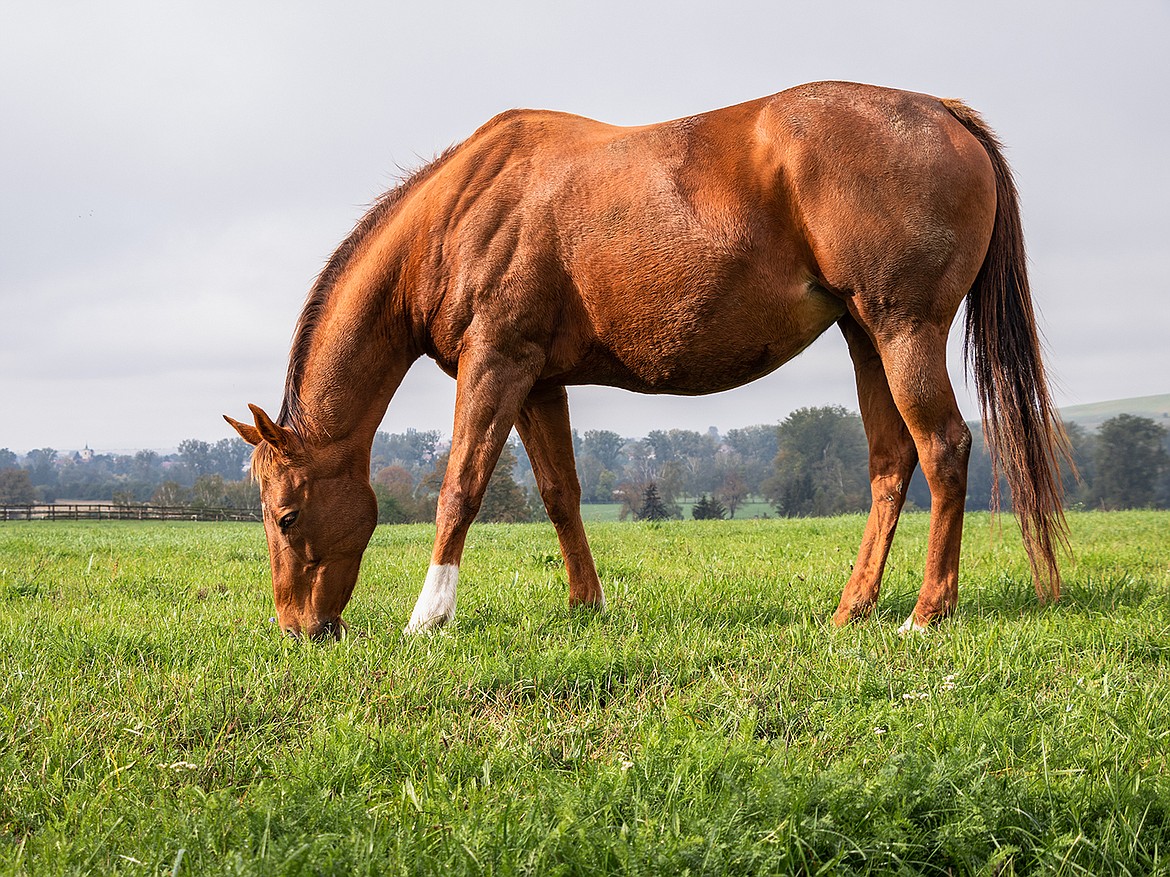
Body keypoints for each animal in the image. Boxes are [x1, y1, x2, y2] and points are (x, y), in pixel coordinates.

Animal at [221, 82, 1071, 640]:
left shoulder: (495, 364)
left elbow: (459, 487)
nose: (299, 628)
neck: (461, 209)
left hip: (904, 331)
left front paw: (430, 615)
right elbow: (561, 495)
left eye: (286, 514)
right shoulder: (538, 382)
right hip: (866, 335)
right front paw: (586, 605)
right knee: (892, 462)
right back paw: (852, 608)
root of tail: (940, 110)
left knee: (945, 448)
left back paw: (927, 613)